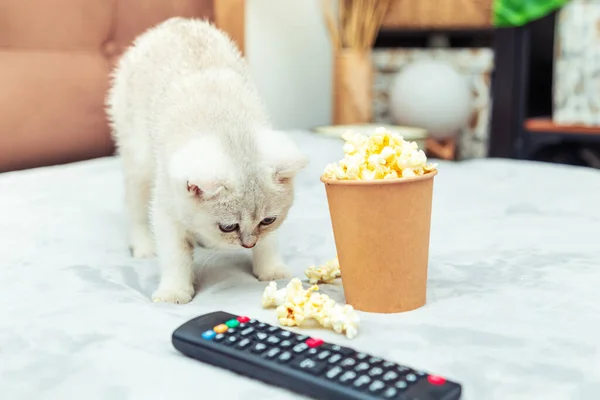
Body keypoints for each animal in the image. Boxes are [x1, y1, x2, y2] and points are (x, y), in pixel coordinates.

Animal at [105, 15, 308, 304]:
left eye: (267, 220)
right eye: (228, 226)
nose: (249, 243)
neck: (227, 126)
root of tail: (174, 23)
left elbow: (270, 241)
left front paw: (271, 268)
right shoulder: (167, 200)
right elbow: (175, 251)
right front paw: (174, 291)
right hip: (138, 154)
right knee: (135, 203)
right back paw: (143, 243)